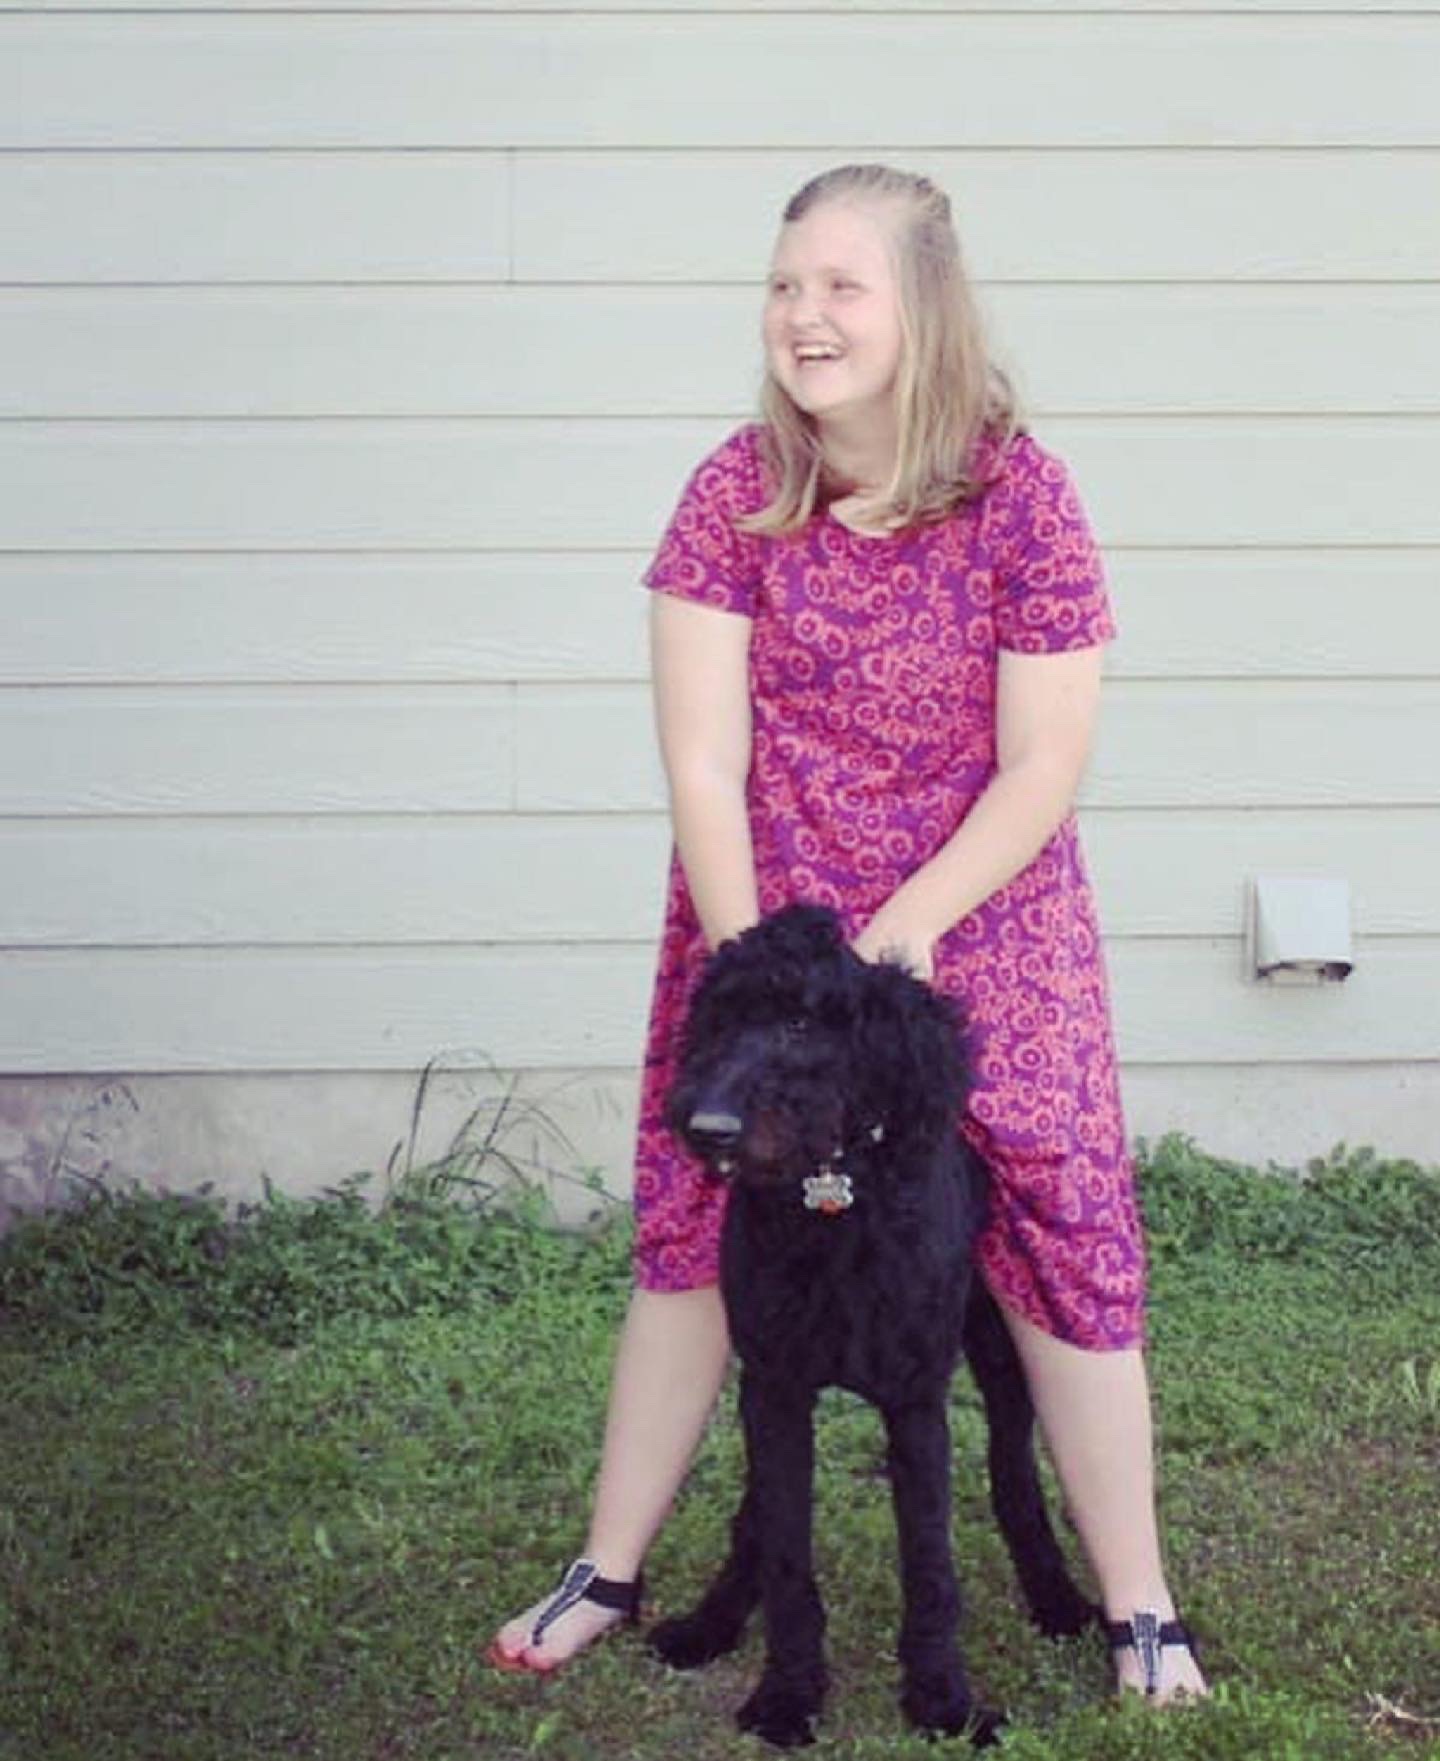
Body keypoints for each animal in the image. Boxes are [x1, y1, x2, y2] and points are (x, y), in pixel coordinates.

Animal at [648, 903, 1095, 1748]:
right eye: (718, 1021)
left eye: (799, 1022)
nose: (708, 1127)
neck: (829, 1205)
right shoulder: (776, 1387)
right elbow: (785, 1550)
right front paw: (786, 1695)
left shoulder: (914, 1399)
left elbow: (930, 1565)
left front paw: (944, 1702)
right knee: (755, 1515)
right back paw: (712, 1619)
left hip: (1000, 1348)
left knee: (1014, 1474)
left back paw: (1058, 1598)